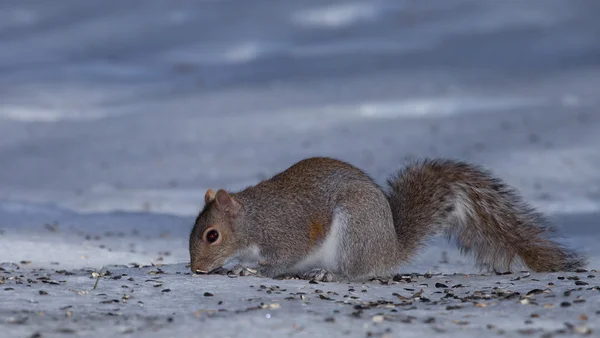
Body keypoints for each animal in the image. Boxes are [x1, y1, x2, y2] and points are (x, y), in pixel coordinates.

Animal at [189, 157, 584, 282]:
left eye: (212, 235)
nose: (196, 269)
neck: (252, 219)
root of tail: (389, 249)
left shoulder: (287, 232)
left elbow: (281, 261)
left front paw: (250, 270)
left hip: (353, 235)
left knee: (358, 273)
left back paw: (331, 275)